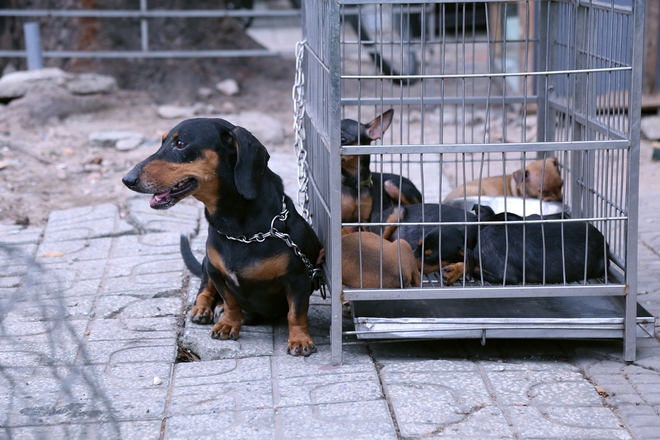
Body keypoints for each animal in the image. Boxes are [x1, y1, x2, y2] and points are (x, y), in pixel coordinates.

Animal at [122, 117, 324, 358]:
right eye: (162, 142)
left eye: (180, 144)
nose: (127, 179)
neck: (239, 231)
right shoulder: (217, 272)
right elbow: (230, 302)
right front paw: (228, 324)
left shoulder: (298, 278)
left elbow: (296, 312)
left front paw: (300, 339)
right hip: (206, 264)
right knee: (204, 290)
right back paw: (202, 309)